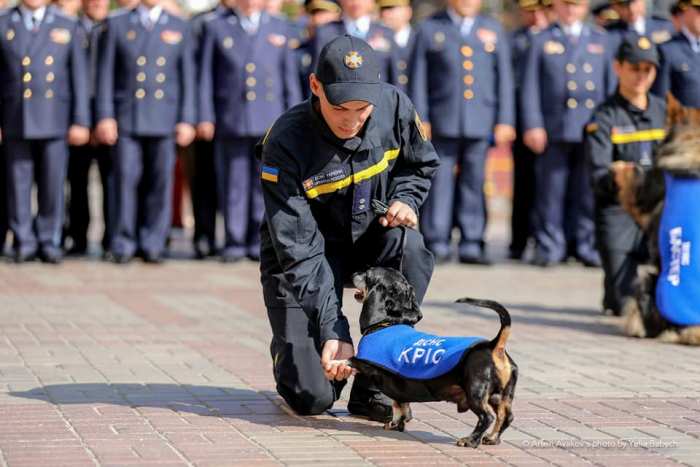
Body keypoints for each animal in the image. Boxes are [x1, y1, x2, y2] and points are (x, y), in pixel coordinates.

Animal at [348, 268, 516, 448]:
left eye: (368, 274)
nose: (353, 274)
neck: (388, 324)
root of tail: (494, 346)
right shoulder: (400, 392)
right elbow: (401, 407)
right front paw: (396, 424)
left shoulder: (364, 364)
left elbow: (350, 360)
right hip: (499, 396)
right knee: (506, 416)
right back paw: (492, 438)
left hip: (476, 393)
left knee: (487, 417)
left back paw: (470, 440)